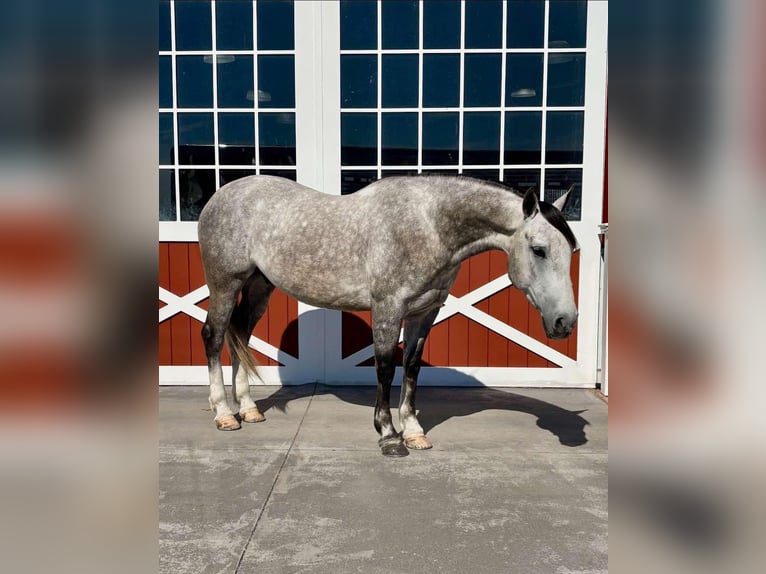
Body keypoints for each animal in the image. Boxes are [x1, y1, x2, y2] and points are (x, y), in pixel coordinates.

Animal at [197, 175, 579, 457]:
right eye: (539, 250)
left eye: (572, 250)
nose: (566, 322)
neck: (429, 225)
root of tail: (221, 195)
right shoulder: (388, 308)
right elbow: (384, 368)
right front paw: (389, 434)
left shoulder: (424, 312)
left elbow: (411, 367)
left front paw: (413, 431)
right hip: (225, 284)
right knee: (214, 336)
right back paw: (224, 414)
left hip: (259, 286)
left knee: (240, 334)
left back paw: (248, 409)